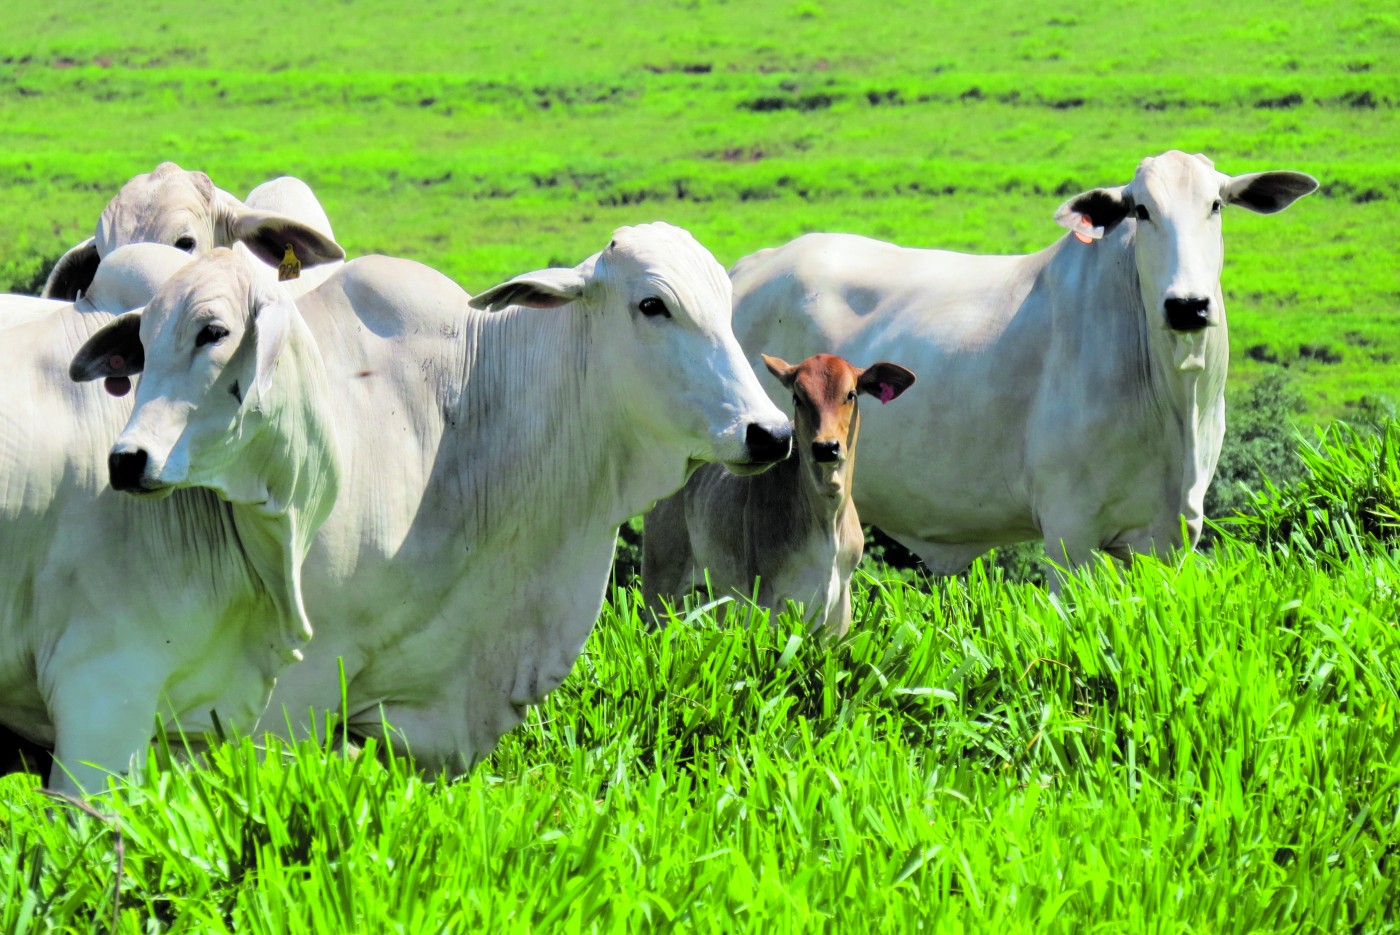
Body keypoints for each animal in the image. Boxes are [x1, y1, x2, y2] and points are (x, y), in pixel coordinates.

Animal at [641, 349, 912, 635]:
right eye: (797, 397)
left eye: (851, 394)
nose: (826, 447)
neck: (827, 519)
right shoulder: (766, 599)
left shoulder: (839, 611)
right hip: (659, 586)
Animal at [728, 152, 1316, 590]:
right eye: (1142, 210)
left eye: (1215, 204)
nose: (1187, 305)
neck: (1175, 397)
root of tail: (748, 269)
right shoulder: (1070, 531)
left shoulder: (1171, 535)